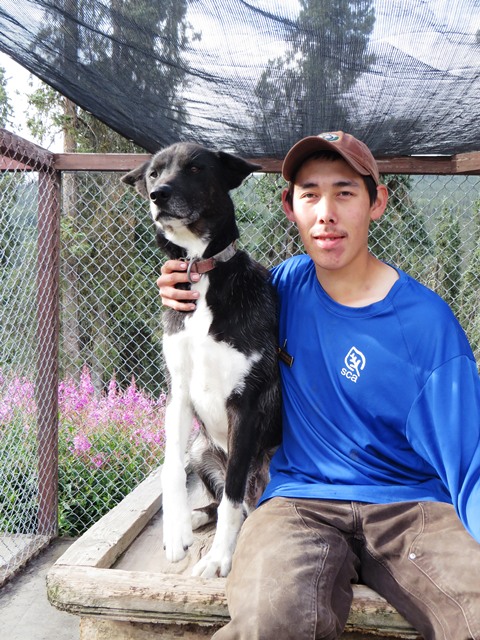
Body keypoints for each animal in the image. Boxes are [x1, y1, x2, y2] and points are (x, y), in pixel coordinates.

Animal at [122, 145, 282, 580]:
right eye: (153, 173)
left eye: (195, 168)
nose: (157, 194)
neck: (200, 271)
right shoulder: (178, 393)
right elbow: (170, 468)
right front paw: (175, 531)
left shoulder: (245, 404)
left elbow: (232, 495)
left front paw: (219, 558)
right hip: (201, 450)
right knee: (214, 497)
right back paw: (192, 518)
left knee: (241, 502)